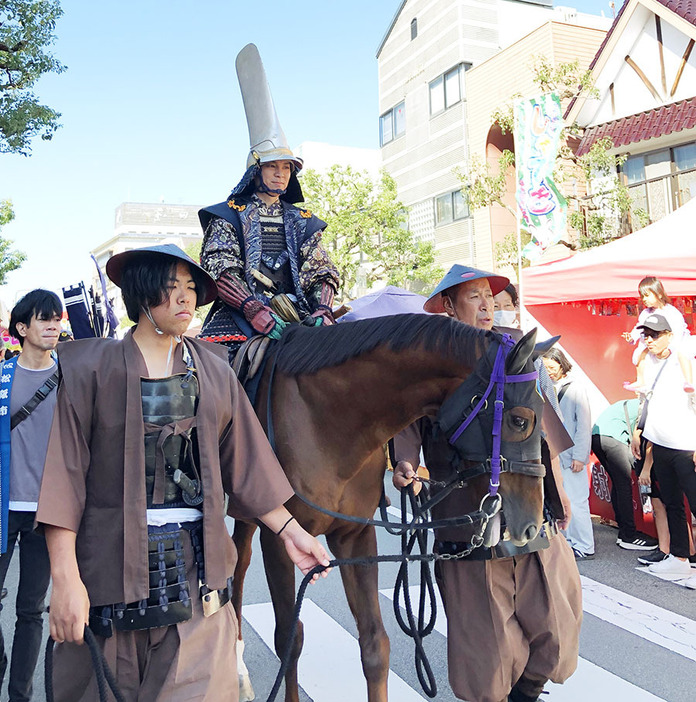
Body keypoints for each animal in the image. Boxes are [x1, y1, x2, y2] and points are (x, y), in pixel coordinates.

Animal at [234, 314, 548, 702]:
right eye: (520, 420)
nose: (532, 523)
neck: (325, 423)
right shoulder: (279, 540)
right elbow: (288, 639)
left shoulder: (355, 536)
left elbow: (375, 645)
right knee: (237, 572)